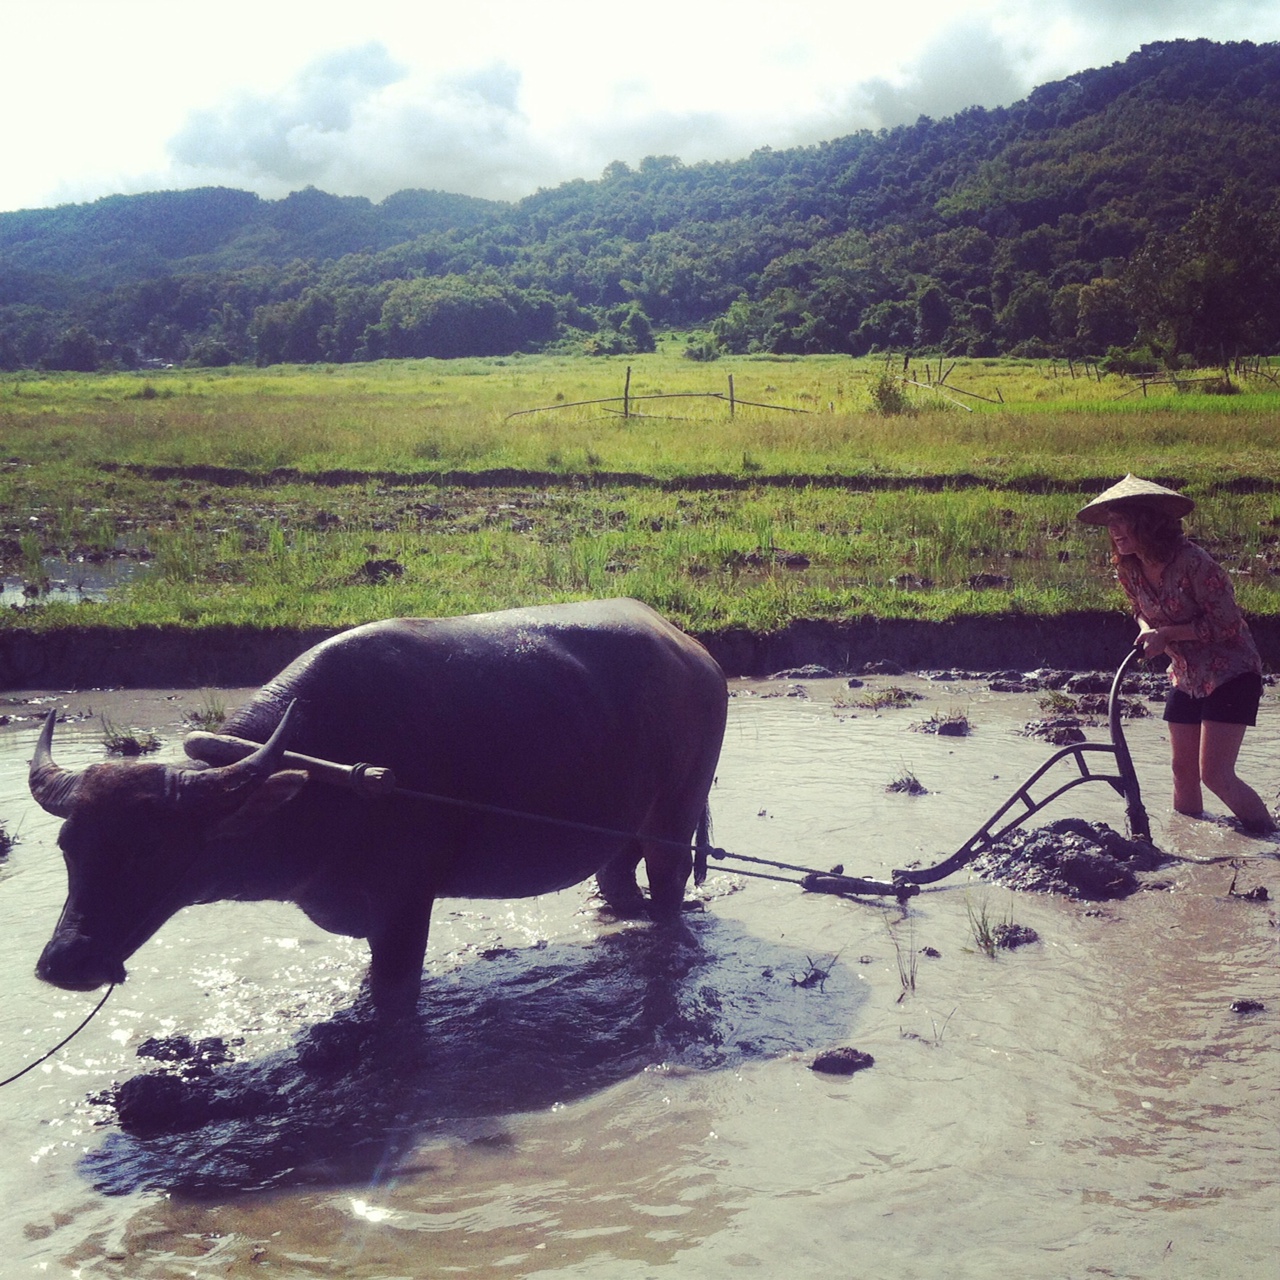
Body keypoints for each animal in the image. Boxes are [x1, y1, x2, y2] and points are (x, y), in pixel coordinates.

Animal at [30, 596, 727, 1008]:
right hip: (622, 826)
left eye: (152, 853)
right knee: (618, 880)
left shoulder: (404, 905)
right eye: (70, 850)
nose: (64, 963)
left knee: (666, 891)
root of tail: (698, 654)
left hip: (674, 816)